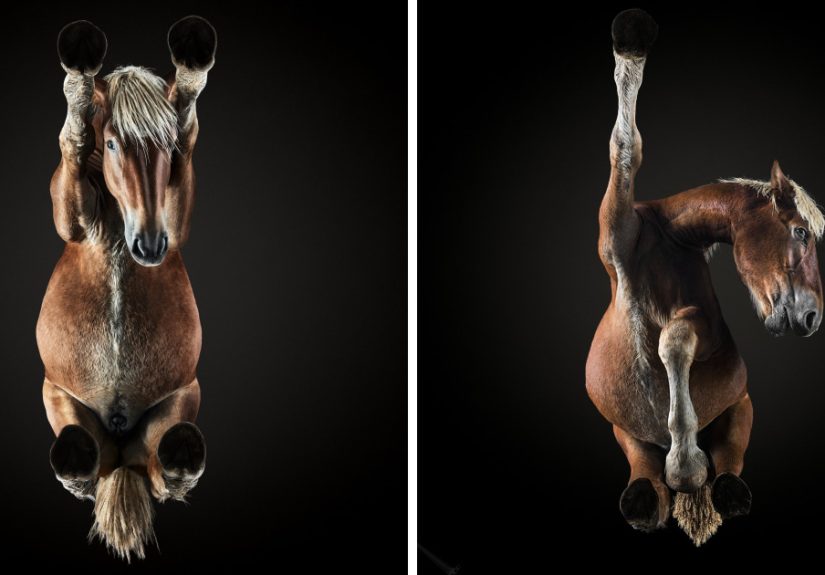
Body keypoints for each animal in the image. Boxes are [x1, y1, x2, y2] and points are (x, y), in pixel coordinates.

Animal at [36, 16, 217, 560]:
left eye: (168, 149)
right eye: (113, 143)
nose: (151, 244)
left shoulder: (177, 218)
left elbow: (188, 114)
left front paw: (192, 62)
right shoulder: (71, 218)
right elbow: (72, 141)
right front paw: (79, 71)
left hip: (178, 403)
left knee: (165, 467)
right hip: (60, 400)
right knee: (80, 459)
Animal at [585, 10, 825, 545]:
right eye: (799, 231)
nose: (812, 318)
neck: (665, 238)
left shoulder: (708, 329)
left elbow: (674, 339)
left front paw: (687, 464)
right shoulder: (614, 234)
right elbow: (624, 146)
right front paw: (631, 41)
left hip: (742, 408)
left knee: (730, 464)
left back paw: (722, 488)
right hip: (623, 432)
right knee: (642, 474)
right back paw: (647, 496)